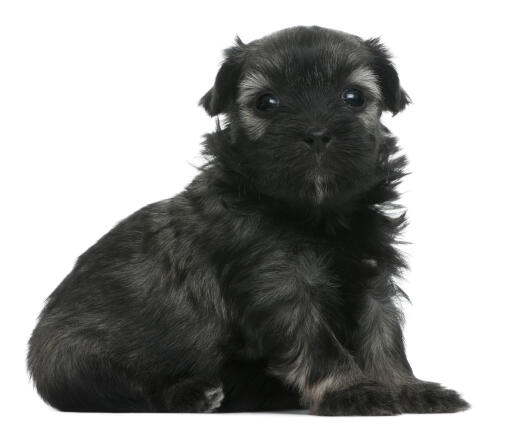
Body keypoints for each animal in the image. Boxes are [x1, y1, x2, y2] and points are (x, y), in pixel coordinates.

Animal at [27, 26, 468, 414]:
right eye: (266, 103)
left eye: (353, 97)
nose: (317, 133)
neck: (314, 213)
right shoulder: (280, 285)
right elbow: (320, 343)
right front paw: (351, 388)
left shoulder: (373, 278)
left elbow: (384, 337)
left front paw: (407, 389)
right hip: (76, 362)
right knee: (132, 389)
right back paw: (193, 393)